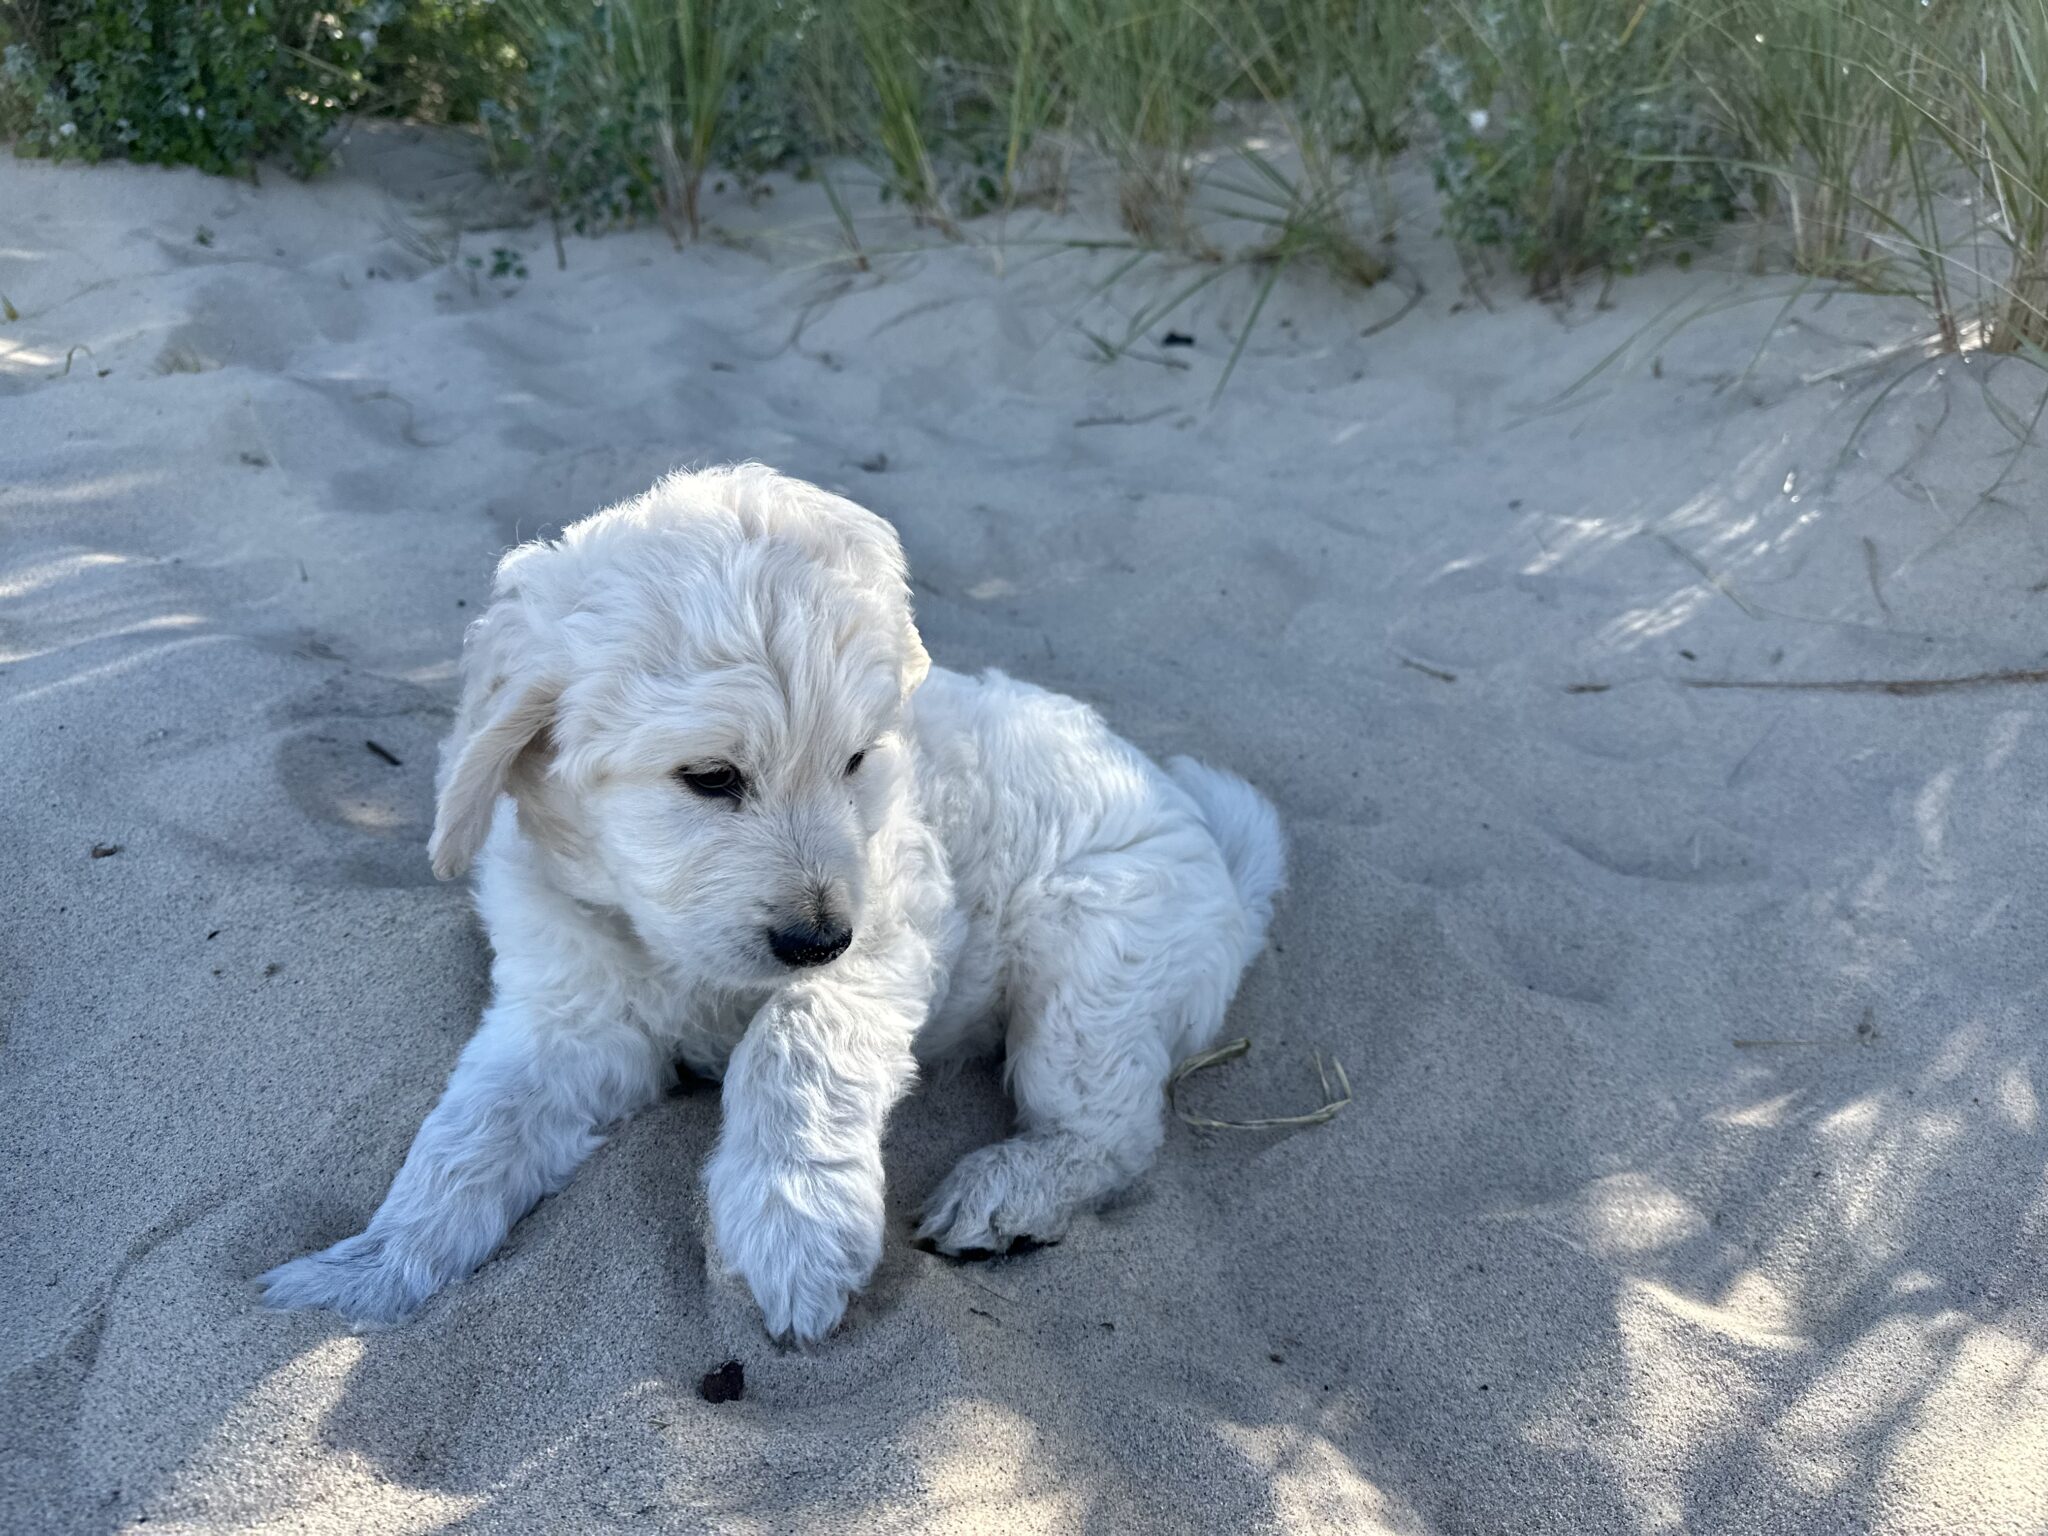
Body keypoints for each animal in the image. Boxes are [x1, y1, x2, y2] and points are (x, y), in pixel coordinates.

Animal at [260, 465, 1285, 1341]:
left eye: (857, 760)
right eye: (711, 777)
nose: (816, 936)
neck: (678, 952)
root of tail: (1218, 853)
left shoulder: (888, 930)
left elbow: (796, 1042)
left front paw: (795, 1231)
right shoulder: (564, 1013)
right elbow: (474, 1127)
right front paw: (370, 1265)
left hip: (1097, 963)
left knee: (1111, 1131)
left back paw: (1009, 1189)